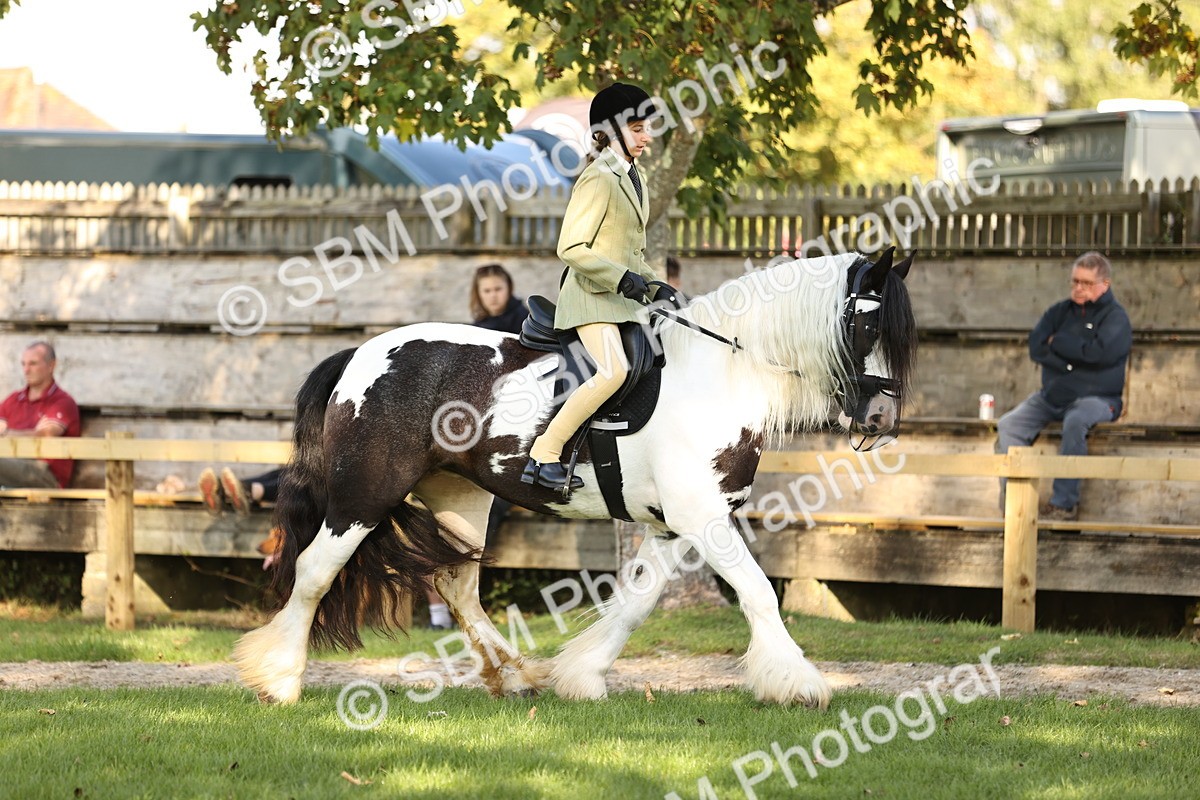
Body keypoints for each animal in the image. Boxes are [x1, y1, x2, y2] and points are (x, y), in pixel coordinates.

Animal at [233, 247, 916, 709]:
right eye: (867, 325)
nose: (882, 420)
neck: (720, 374)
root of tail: (359, 354)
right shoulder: (702, 519)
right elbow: (758, 593)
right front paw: (798, 684)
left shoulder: (673, 527)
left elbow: (637, 604)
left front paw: (582, 675)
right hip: (365, 495)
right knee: (315, 571)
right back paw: (281, 680)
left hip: (462, 499)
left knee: (457, 586)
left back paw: (515, 676)